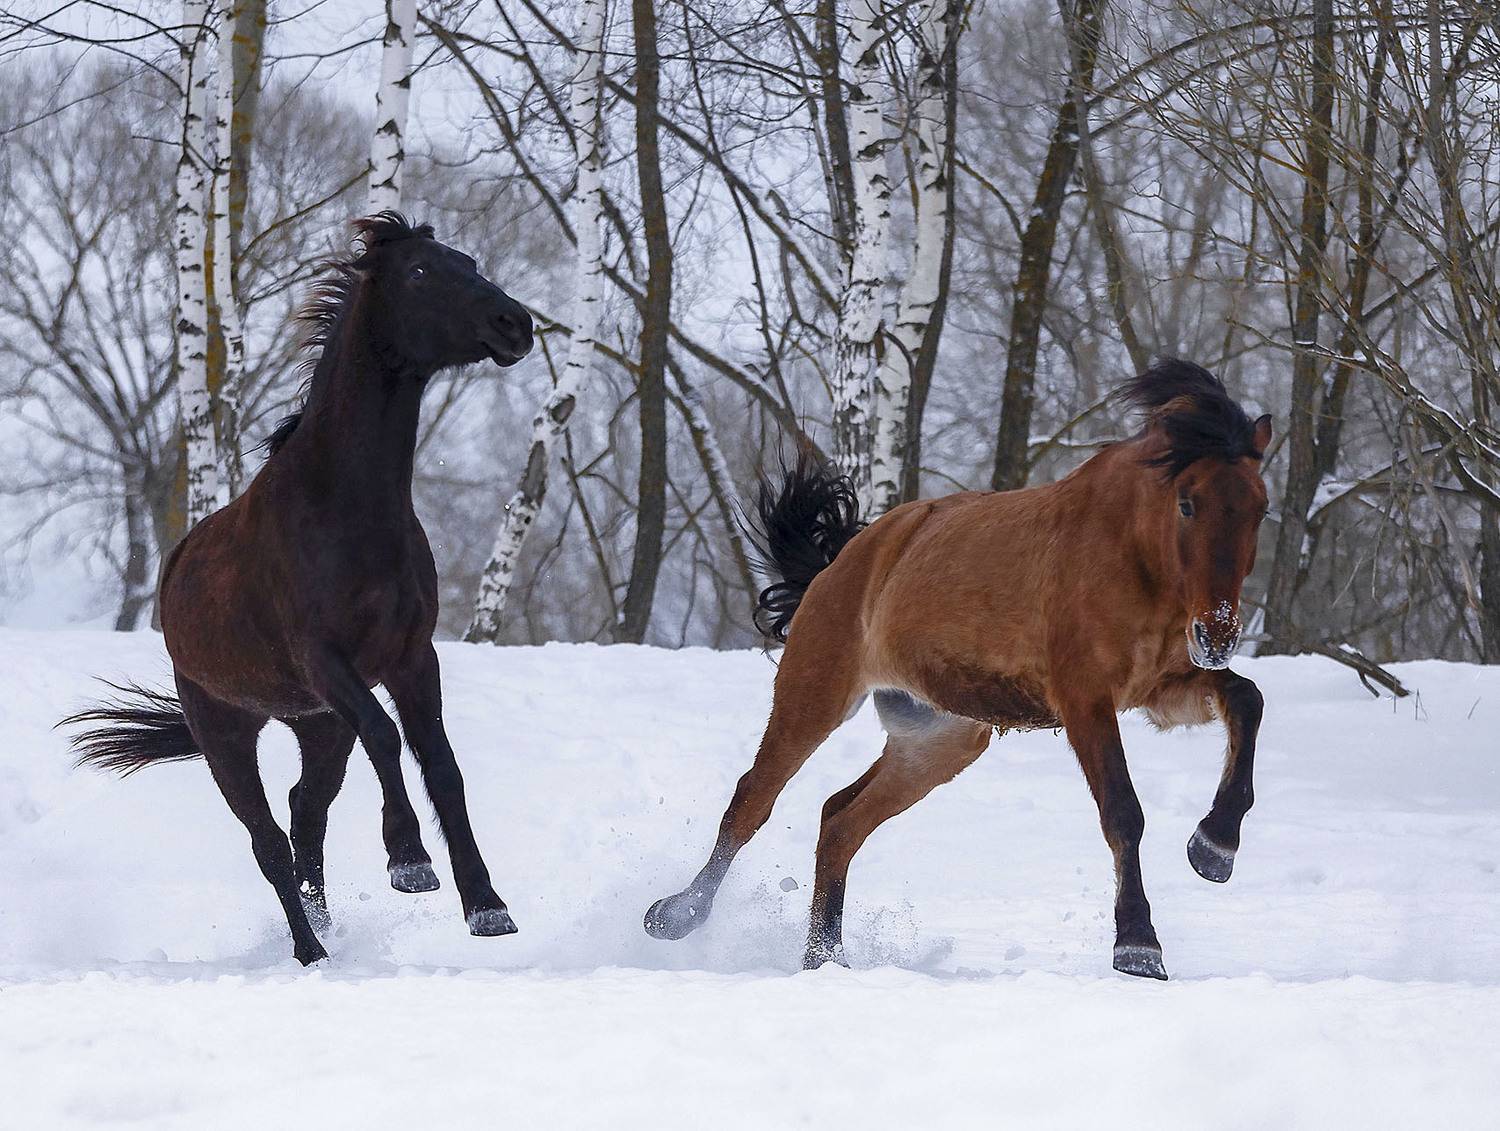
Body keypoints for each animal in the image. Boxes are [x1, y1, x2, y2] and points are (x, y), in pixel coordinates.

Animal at [64, 213, 534, 965]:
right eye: (420, 272)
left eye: (469, 261)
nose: (514, 322)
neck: (346, 509)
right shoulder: (325, 662)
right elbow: (386, 737)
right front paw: (409, 862)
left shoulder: (411, 659)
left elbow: (441, 764)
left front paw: (486, 904)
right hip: (228, 734)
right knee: (269, 840)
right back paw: (310, 949)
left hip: (318, 726)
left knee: (305, 814)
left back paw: (325, 927)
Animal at [645, 359, 1272, 980]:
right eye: (1187, 503)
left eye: (1260, 507)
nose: (1218, 634)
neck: (1131, 556)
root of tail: (841, 562)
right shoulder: (1084, 698)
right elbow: (1123, 811)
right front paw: (1139, 946)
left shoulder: (1160, 686)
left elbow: (1248, 698)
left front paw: (1214, 848)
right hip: (815, 695)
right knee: (753, 802)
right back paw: (674, 916)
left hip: (939, 742)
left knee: (841, 821)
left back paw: (825, 959)